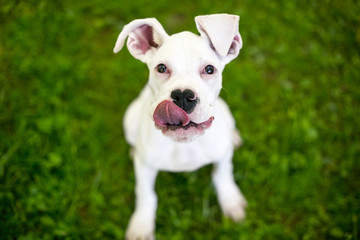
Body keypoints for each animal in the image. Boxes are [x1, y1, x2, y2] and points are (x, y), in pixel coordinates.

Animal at [114, 14, 246, 239]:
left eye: (209, 69)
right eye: (161, 68)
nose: (183, 96)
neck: (184, 144)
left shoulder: (222, 155)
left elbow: (223, 175)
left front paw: (231, 201)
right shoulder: (145, 168)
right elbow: (145, 194)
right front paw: (141, 225)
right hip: (129, 119)